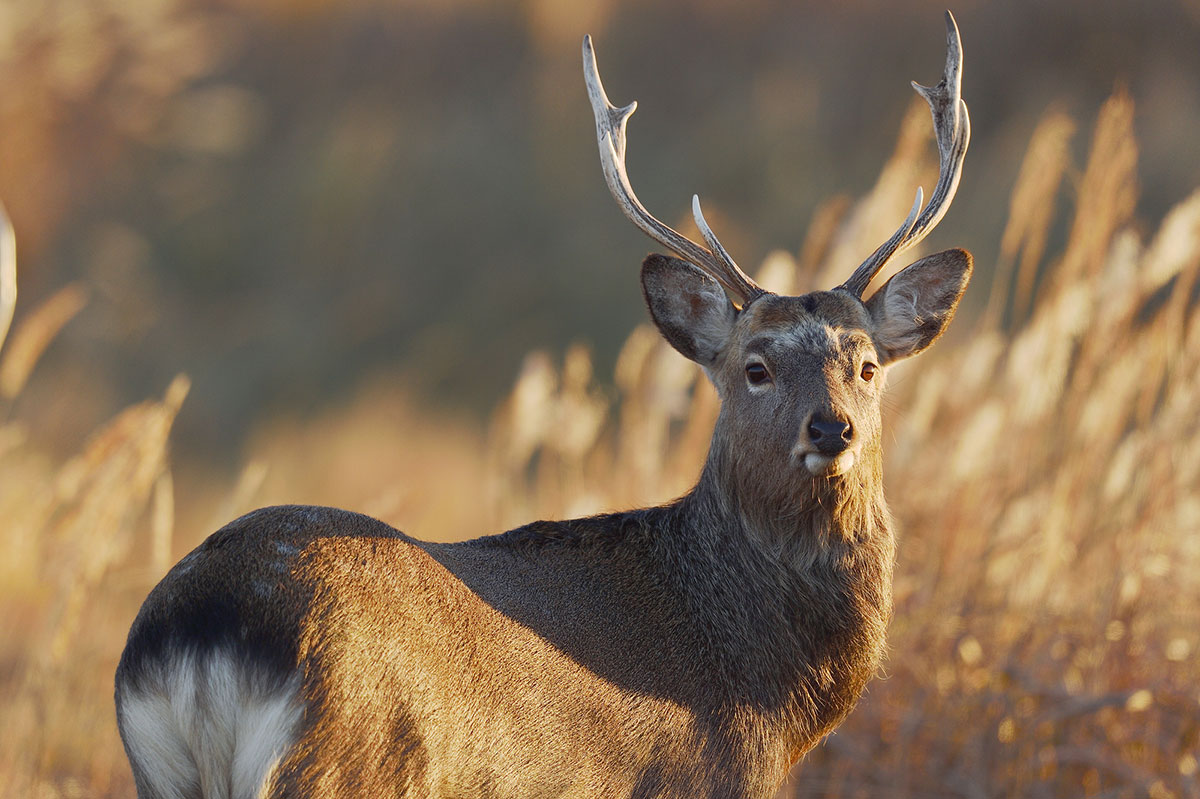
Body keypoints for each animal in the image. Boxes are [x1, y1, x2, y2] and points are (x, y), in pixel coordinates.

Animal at [114, 12, 974, 796]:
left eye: (867, 365)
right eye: (754, 368)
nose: (833, 428)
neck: (770, 693)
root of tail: (201, 630)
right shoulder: (705, 780)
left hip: (163, 773)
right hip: (348, 761)